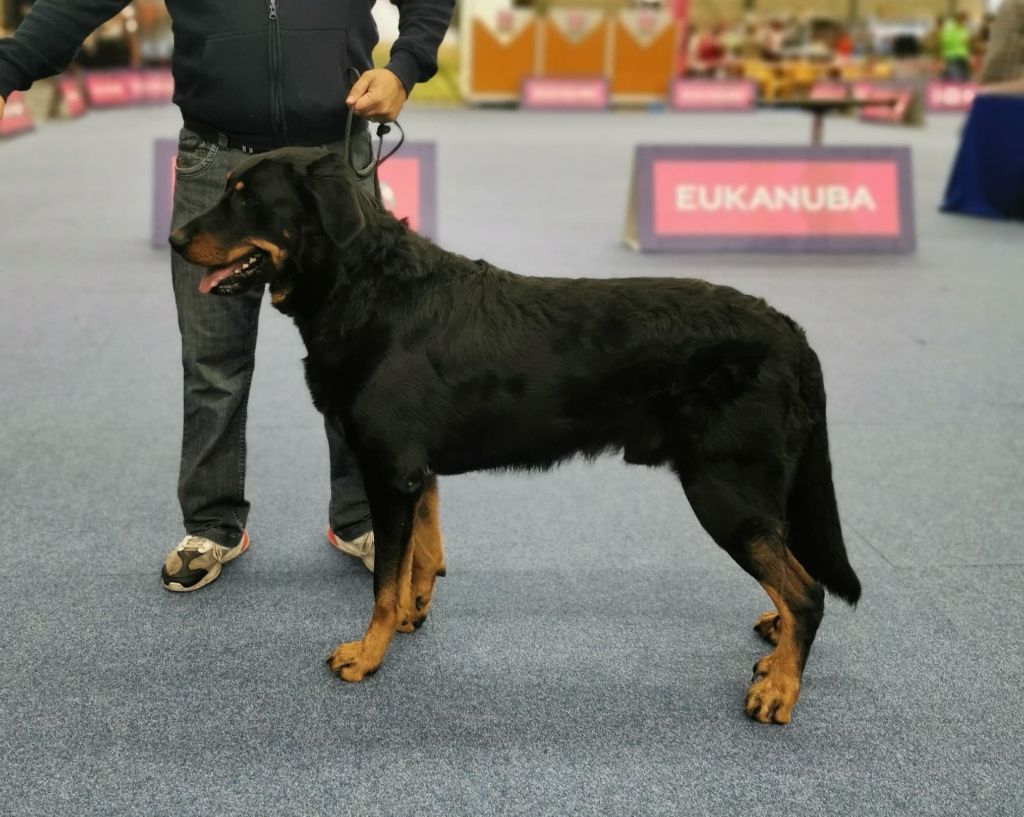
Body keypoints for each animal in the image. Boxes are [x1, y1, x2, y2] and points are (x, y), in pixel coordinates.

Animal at [172, 150, 860, 724]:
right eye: (226, 190)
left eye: (246, 199)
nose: (175, 238)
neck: (365, 287)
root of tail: (791, 334)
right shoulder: (416, 474)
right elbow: (422, 556)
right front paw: (413, 616)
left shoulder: (389, 471)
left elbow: (383, 583)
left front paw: (368, 654)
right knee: (793, 578)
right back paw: (776, 650)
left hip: (724, 488)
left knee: (807, 592)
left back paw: (780, 689)